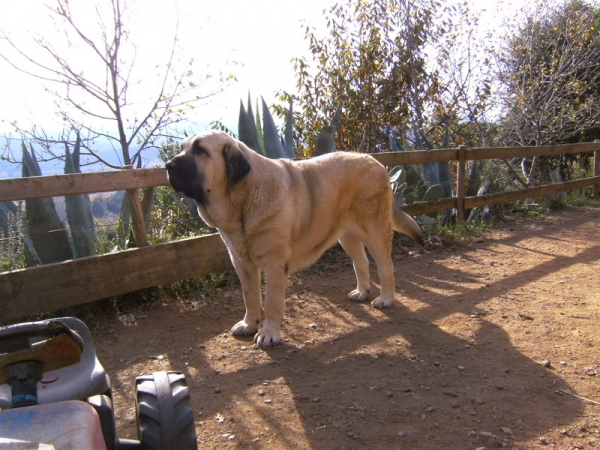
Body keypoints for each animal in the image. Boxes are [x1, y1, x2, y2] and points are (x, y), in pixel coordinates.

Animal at [166, 130, 424, 348]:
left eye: (200, 150)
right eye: (183, 148)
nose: (168, 165)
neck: (243, 200)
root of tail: (374, 161)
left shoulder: (274, 266)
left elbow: (271, 302)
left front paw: (268, 333)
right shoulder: (242, 265)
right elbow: (250, 297)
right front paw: (249, 325)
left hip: (374, 230)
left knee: (385, 265)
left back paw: (386, 299)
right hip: (347, 236)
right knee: (361, 262)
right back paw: (361, 292)